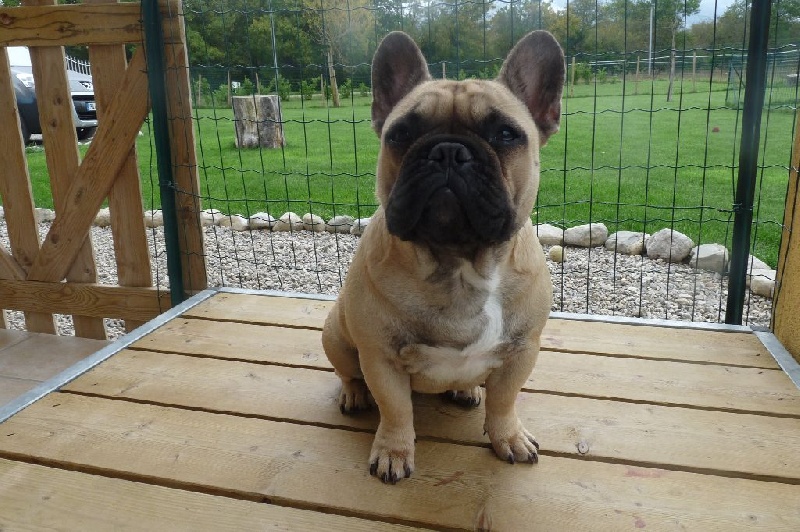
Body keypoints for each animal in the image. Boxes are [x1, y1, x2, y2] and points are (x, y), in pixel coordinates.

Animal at [322, 30, 564, 483]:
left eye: (506, 134)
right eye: (400, 134)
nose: (448, 151)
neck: (458, 265)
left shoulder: (522, 350)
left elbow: (504, 400)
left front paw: (508, 436)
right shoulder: (381, 356)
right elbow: (396, 409)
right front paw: (394, 451)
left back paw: (465, 389)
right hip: (335, 333)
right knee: (350, 372)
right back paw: (355, 393)